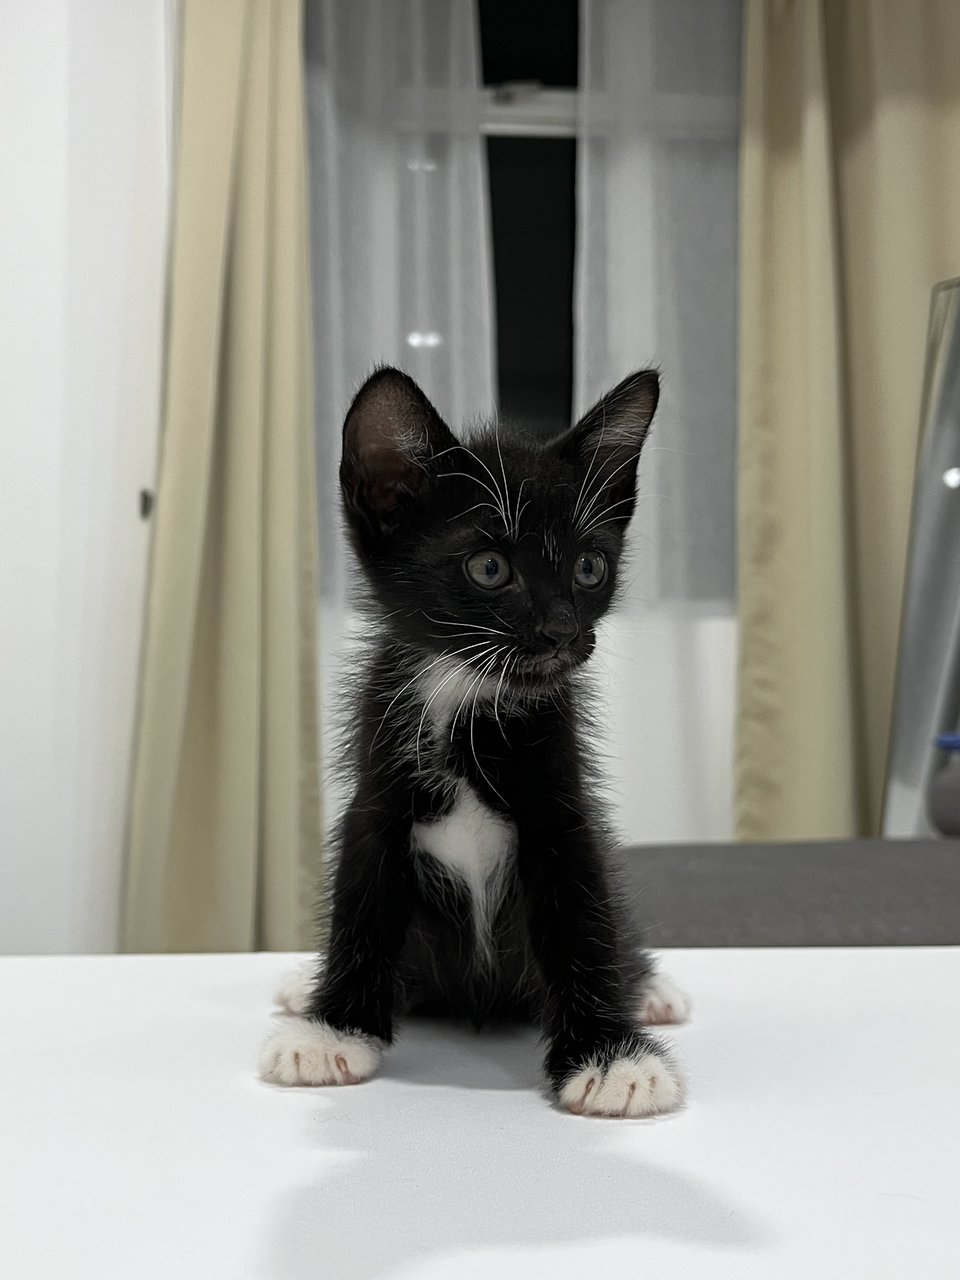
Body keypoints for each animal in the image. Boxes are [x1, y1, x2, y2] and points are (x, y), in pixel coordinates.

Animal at [259, 366, 686, 1116]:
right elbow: (362, 900)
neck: (465, 693)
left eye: (590, 569)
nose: (562, 632)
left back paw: (647, 987)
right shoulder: (375, 797)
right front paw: (332, 1028)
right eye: (489, 569)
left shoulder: (561, 803)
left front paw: (611, 1058)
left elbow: (583, 911)